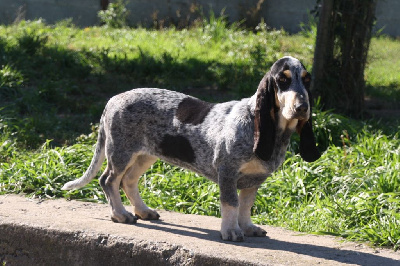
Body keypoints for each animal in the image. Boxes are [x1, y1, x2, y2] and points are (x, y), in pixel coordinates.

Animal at [61, 57, 318, 242]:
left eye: (307, 80)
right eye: (282, 80)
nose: (302, 107)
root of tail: (112, 100)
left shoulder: (254, 179)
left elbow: (246, 206)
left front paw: (247, 227)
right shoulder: (228, 172)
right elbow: (231, 204)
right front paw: (231, 231)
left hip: (145, 155)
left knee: (129, 181)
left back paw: (143, 211)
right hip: (121, 153)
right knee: (109, 180)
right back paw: (120, 215)